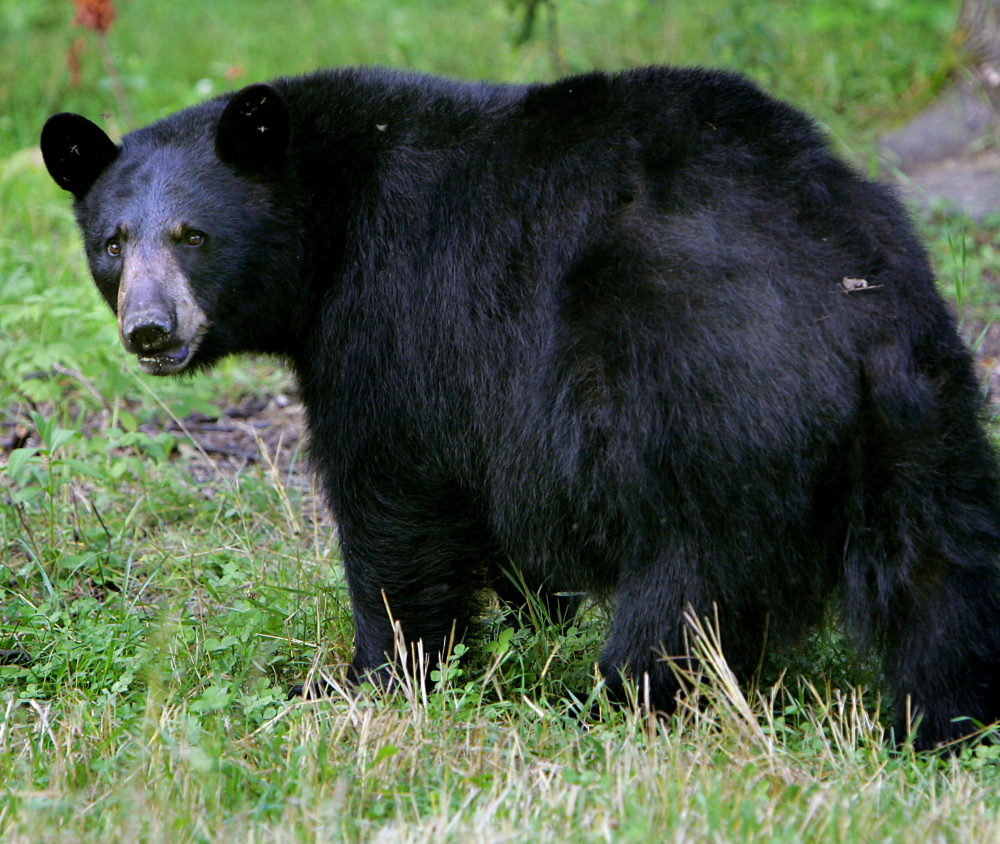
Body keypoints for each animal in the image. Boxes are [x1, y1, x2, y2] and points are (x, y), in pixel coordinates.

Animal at [40, 65, 1000, 750]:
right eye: (112, 243)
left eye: (194, 236)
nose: (150, 329)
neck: (328, 218)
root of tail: (845, 304)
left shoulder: (395, 316)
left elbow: (392, 499)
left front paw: (369, 678)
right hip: (924, 413)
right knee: (940, 578)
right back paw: (940, 724)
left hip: (705, 406)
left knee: (687, 592)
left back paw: (610, 705)